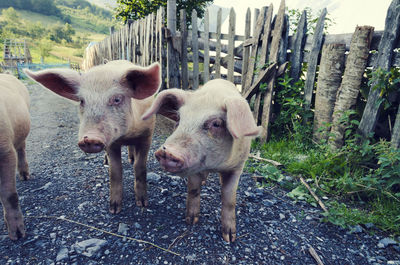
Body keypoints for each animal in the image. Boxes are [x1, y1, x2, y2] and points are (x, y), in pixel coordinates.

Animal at [24, 60, 161, 212]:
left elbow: (140, 166)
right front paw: (114, 210)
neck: (127, 134)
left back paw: (131, 159)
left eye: (117, 99)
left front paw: (143, 204)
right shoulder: (111, 144)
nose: (89, 138)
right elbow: (115, 170)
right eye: (82, 101)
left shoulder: (147, 135)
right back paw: (106, 162)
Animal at [142, 78, 260, 241]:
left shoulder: (237, 167)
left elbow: (229, 198)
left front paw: (229, 238)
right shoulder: (194, 168)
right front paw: (191, 221)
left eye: (216, 124)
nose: (167, 152)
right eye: (179, 118)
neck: (215, 165)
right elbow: (193, 189)